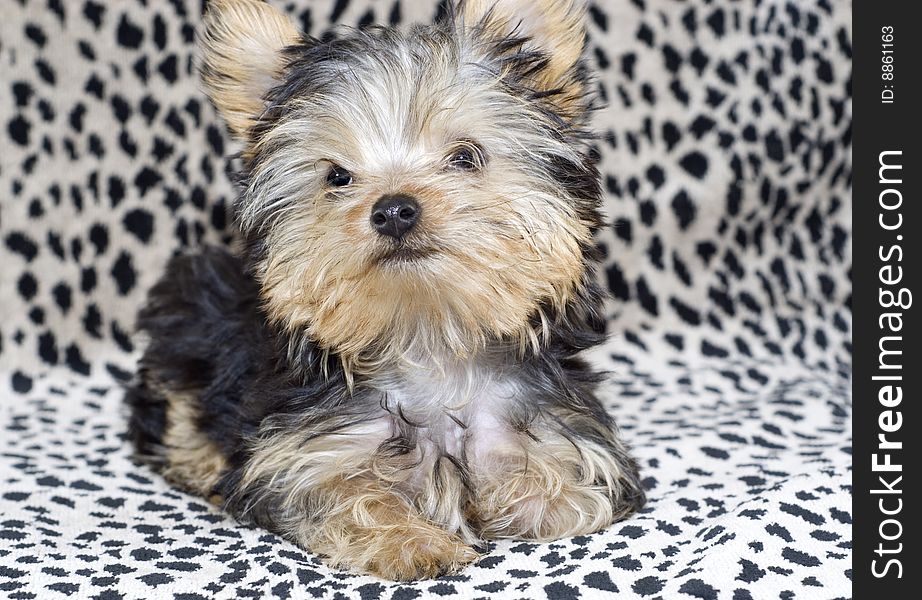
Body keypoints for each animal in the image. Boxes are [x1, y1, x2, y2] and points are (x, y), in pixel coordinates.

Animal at [126, 0, 644, 580]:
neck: (427, 337)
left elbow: (570, 500)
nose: (394, 209)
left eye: (465, 156)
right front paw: (413, 541)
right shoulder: (298, 456)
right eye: (336, 176)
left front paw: (503, 496)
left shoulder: (565, 433)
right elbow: (346, 495)